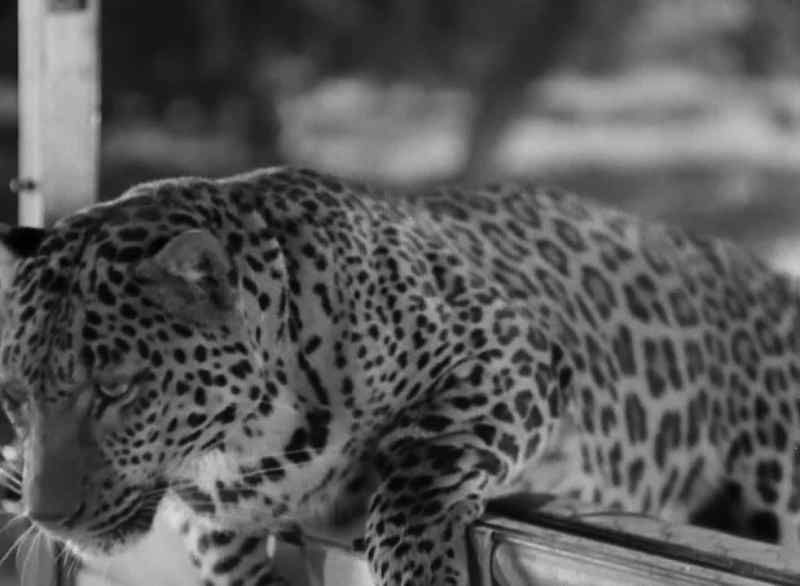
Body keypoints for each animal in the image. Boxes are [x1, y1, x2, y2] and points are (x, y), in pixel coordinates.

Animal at [0, 165, 798, 586]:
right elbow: (221, 549)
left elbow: (418, 466)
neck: (245, 454)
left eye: (116, 390)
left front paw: (423, 568)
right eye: (15, 400)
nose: (47, 517)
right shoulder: (209, 508)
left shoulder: (511, 353)